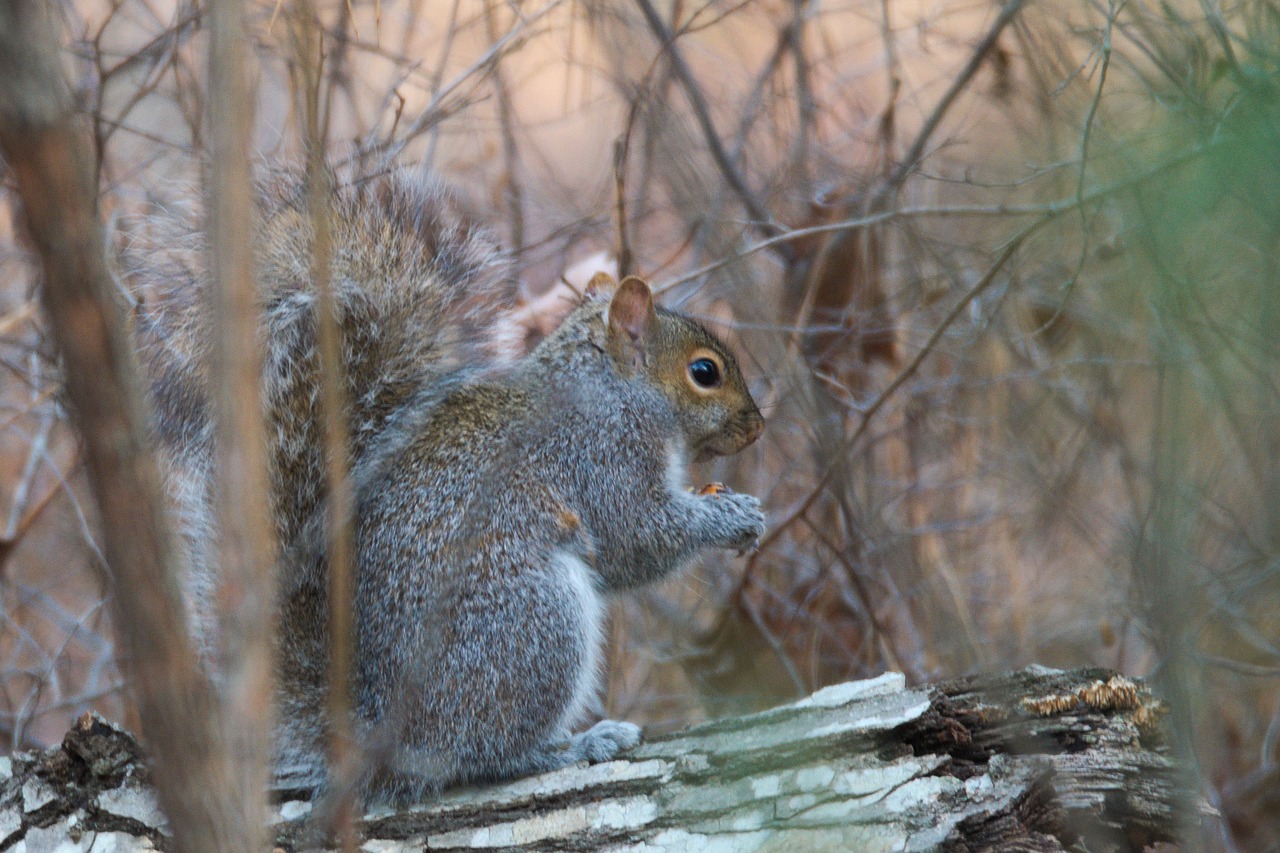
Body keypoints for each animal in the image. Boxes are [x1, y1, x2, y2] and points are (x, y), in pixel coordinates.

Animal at [127, 166, 768, 799]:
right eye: (704, 372)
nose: (758, 426)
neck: (612, 387)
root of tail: (377, 738)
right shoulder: (600, 456)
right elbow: (637, 536)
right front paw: (732, 517)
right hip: (533, 622)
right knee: (485, 755)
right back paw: (574, 745)